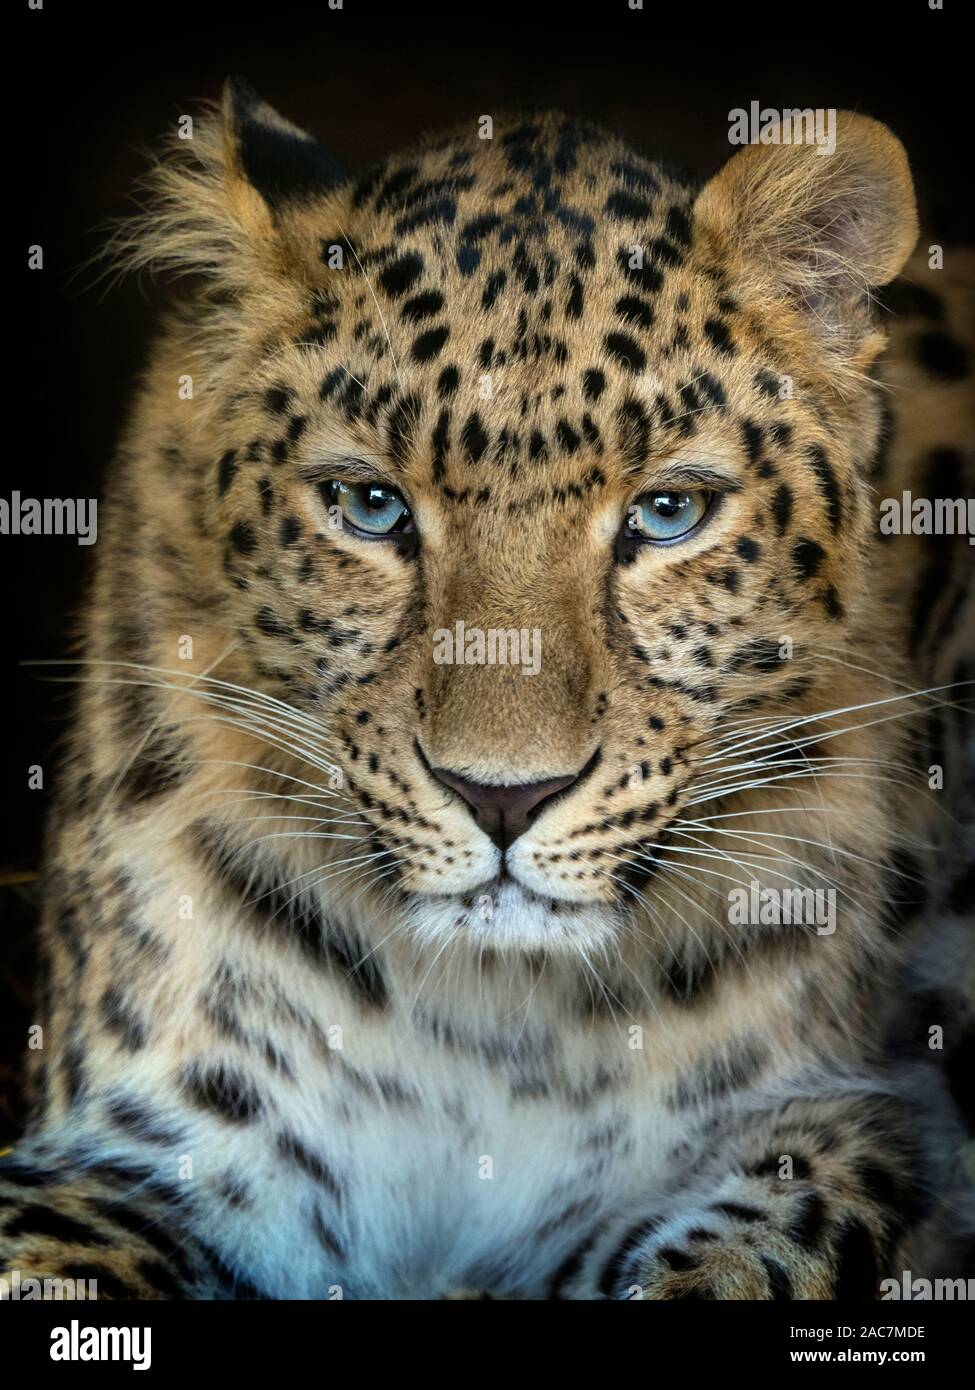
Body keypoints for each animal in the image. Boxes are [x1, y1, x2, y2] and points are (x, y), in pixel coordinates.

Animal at [2, 80, 972, 1300]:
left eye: (667, 514)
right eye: (368, 505)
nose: (502, 799)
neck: (499, 1018)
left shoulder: (842, 1129)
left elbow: (738, 1260)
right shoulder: (143, 1148)